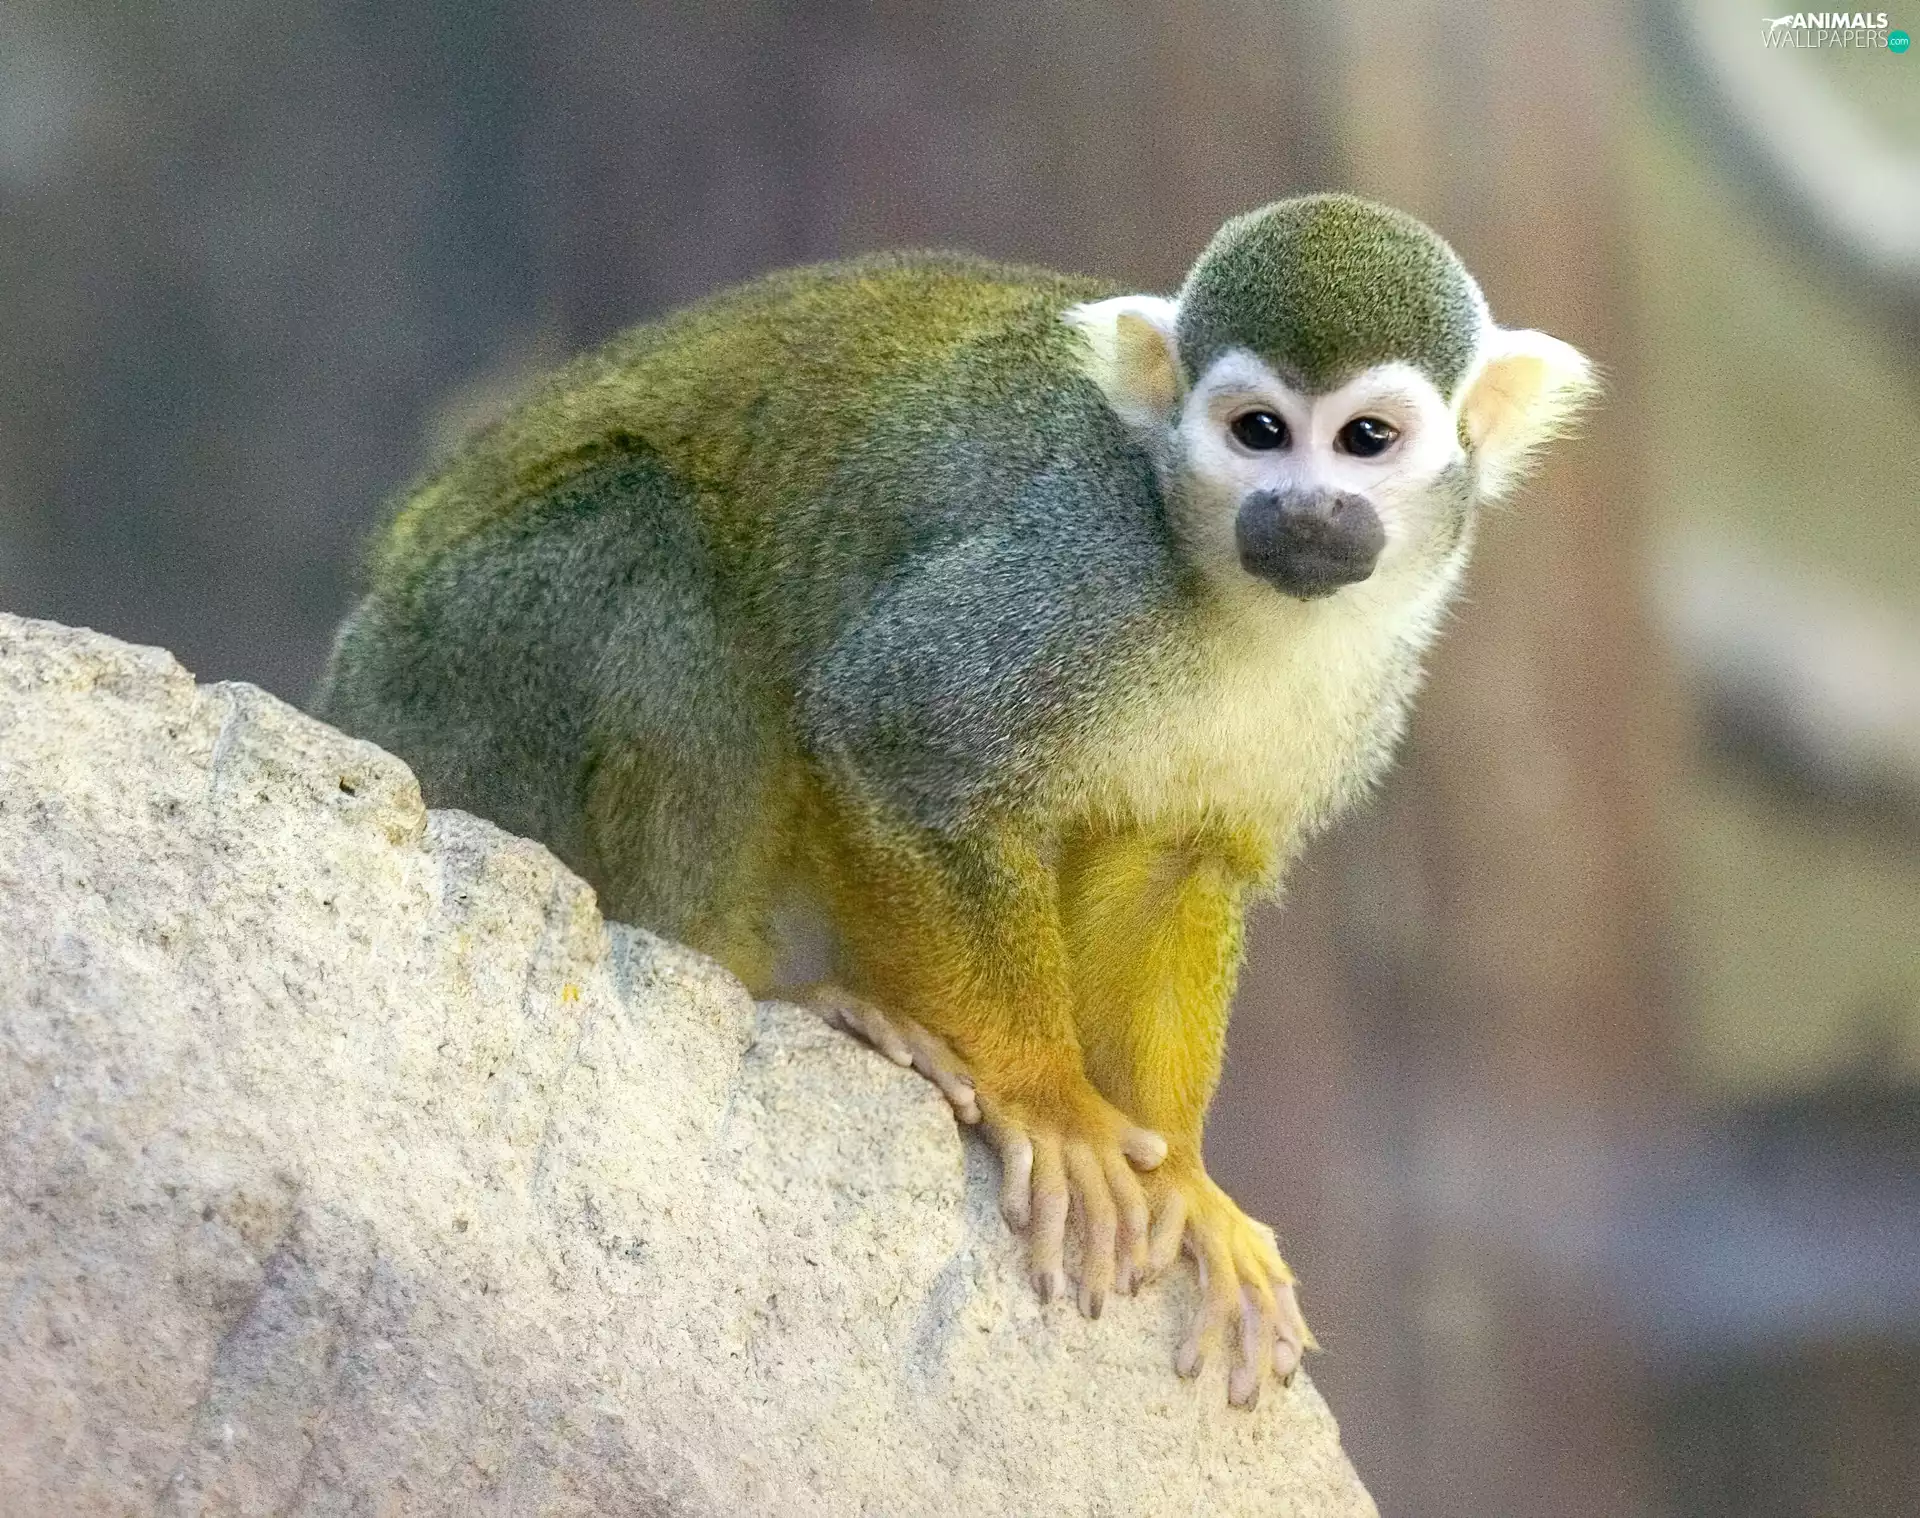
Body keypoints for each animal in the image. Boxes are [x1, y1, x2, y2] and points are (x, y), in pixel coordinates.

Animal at [314, 193, 1595, 1408]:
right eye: (1259, 432)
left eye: (1366, 439)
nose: (1304, 512)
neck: (1238, 603)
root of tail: (351, 683)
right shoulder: (1076, 571)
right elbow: (894, 741)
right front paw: (1054, 1106)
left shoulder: (1363, 681)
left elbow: (1173, 862)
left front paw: (1181, 1176)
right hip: (461, 663)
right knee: (652, 530)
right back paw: (747, 974)